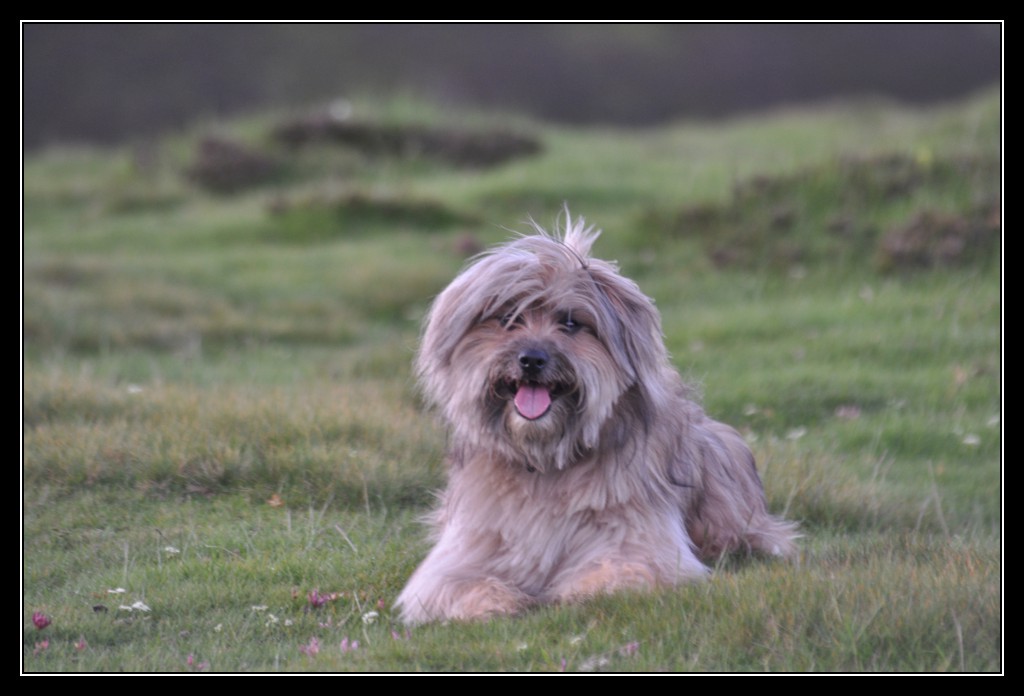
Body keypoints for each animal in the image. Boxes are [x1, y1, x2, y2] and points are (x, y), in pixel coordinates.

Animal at [395, 213, 794, 626]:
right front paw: (495, 601)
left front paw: (567, 595)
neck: (548, 463)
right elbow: (450, 583)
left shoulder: (637, 541)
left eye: (571, 324)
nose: (532, 359)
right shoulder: (466, 550)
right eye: (508, 319)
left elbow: (617, 572)